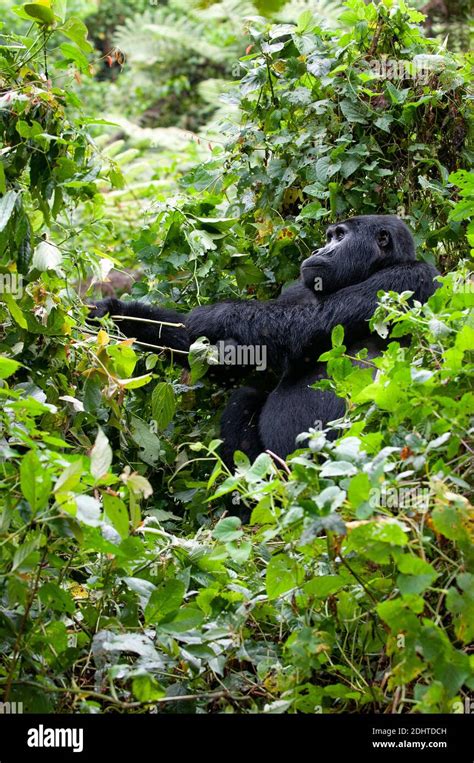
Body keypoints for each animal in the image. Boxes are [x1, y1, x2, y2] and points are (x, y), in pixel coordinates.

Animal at [87, 216, 438, 466]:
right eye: (329, 237)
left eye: (340, 236)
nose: (318, 251)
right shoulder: (298, 288)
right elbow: (235, 360)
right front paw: (114, 311)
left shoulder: (408, 279)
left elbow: (309, 327)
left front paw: (214, 314)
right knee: (246, 397)